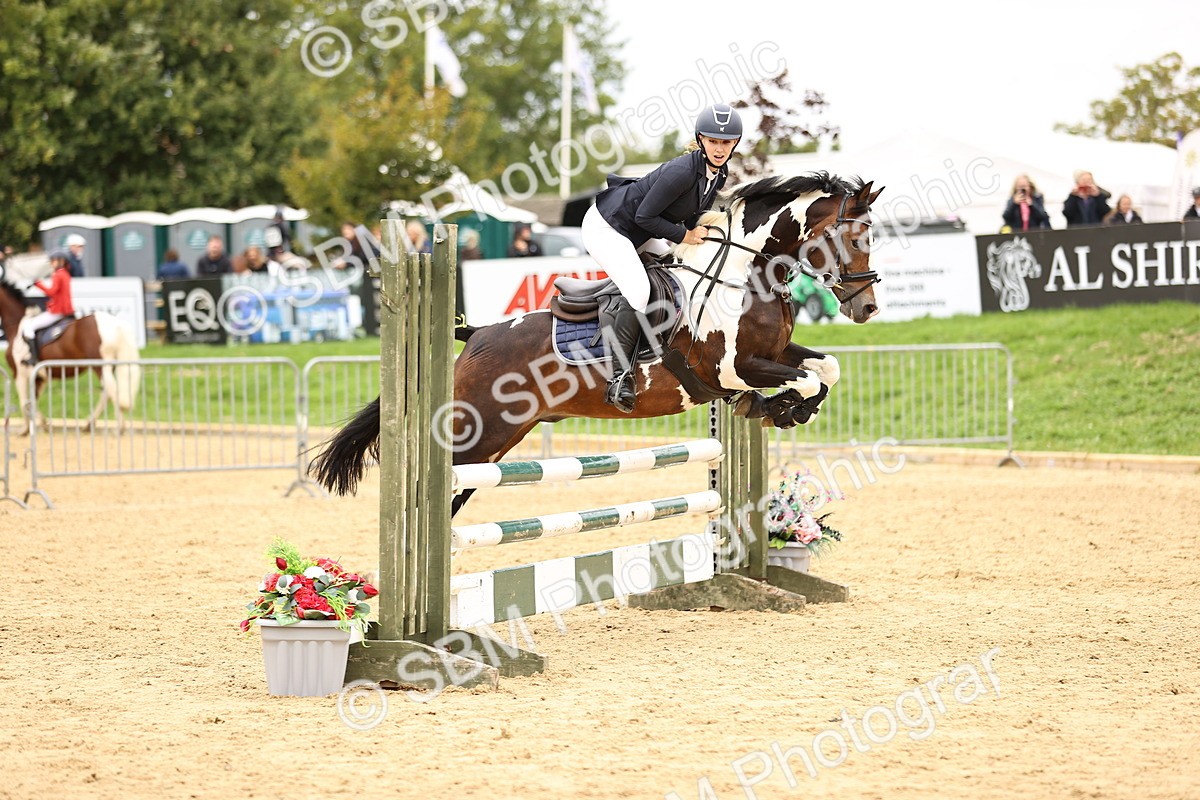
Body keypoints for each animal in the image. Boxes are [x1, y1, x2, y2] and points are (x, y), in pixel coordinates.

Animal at [0, 279, 142, 435]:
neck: (17, 326)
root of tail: (117, 324)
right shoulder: (39, 377)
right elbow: (31, 402)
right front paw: (42, 424)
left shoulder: (19, 374)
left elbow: (23, 401)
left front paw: (25, 429)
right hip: (109, 366)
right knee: (106, 393)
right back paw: (89, 424)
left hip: (100, 366)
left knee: (111, 390)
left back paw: (119, 427)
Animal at [311, 172, 883, 514]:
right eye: (853, 237)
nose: (867, 309)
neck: (746, 275)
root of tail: (475, 336)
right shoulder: (730, 368)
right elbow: (803, 378)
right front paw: (776, 407)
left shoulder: (772, 354)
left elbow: (826, 368)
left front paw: (783, 410)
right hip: (475, 431)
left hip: (499, 441)